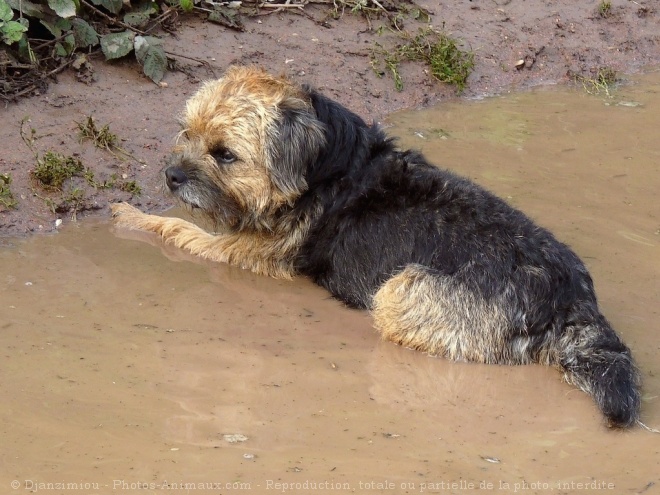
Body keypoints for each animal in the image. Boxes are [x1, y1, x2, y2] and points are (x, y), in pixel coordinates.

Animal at [111, 65, 640, 430]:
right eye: (188, 131)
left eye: (225, 155)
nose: (171, 175)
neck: (325, 165)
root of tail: (570, 300)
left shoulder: (249, 252)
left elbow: (179, 230)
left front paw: (133, 217)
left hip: (401, 289)